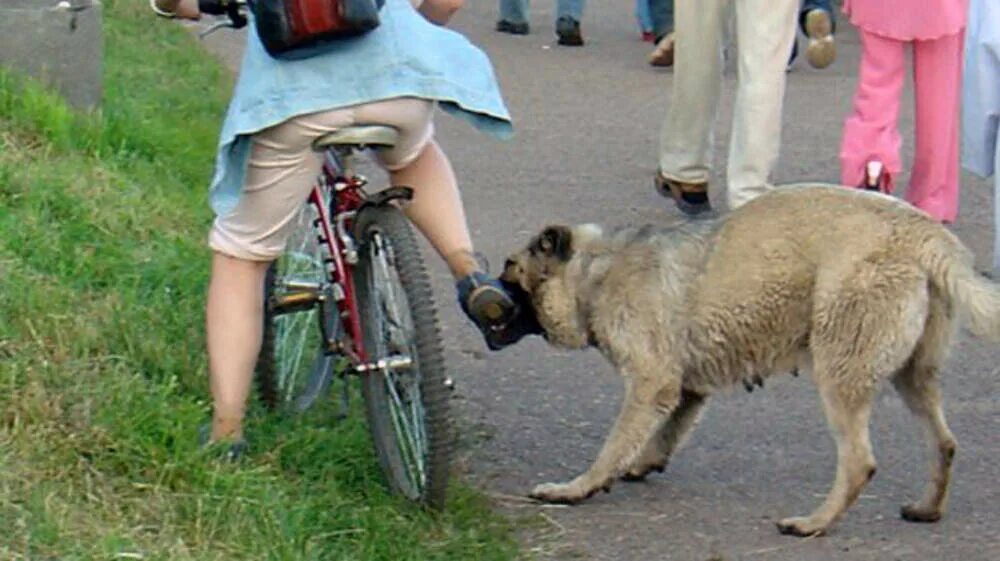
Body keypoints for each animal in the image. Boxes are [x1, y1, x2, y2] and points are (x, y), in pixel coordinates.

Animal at [500, 184, 1000, 532]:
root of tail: (924, 233)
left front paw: (578, 487)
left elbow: (612, 447)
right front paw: (641, 463)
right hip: (914, 377)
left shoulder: (650, 382)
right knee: (945, 443)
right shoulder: (684, 388)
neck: (598, 267)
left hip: (840, 374)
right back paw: (928, 508)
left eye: (510, 269)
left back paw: (814, 523)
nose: (486, 290)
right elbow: (663, 433)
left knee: (859, 462)